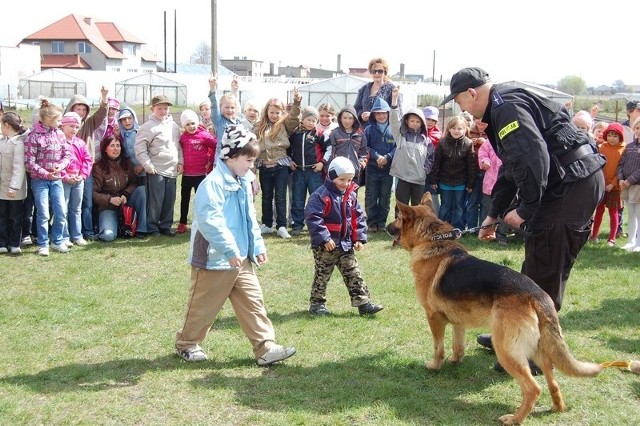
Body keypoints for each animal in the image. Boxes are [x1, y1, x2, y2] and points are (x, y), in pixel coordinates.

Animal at [384, 194, 604, 426]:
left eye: (397, 218)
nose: (385, 227)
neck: (433, 240)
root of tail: (538, 295)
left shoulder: (434, 317)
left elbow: (439, 347)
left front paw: (435, 365)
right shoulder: (458, 322)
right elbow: (457, 345)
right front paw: (455, 361)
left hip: (505, 349)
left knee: (533, 388)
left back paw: (514, 418)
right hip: (540, 351)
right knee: (553, 381)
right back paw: (556, 408)